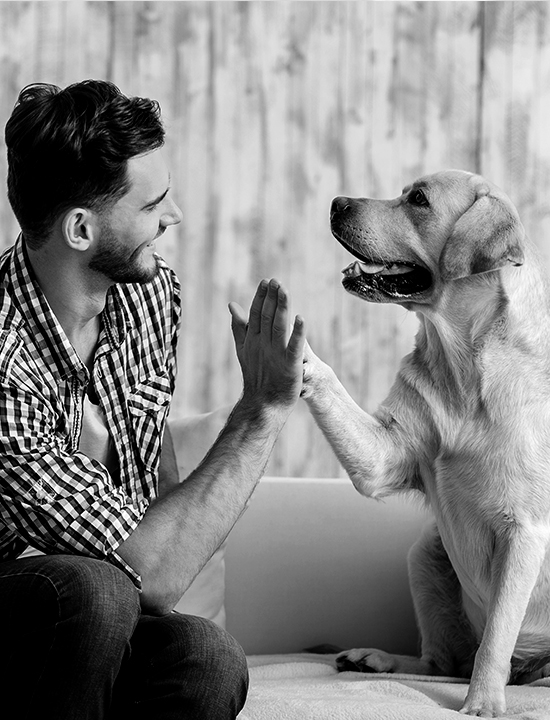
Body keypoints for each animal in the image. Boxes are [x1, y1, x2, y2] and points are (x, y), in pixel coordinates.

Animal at [304, 172, 550, 716]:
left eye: (418, 199)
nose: (336, 202)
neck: (463, 365)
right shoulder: (383, 455)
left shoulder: (525, 531)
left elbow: (496, 640)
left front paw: (483, 703)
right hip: (424, 553)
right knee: (441, 663)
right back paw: (373, 659)